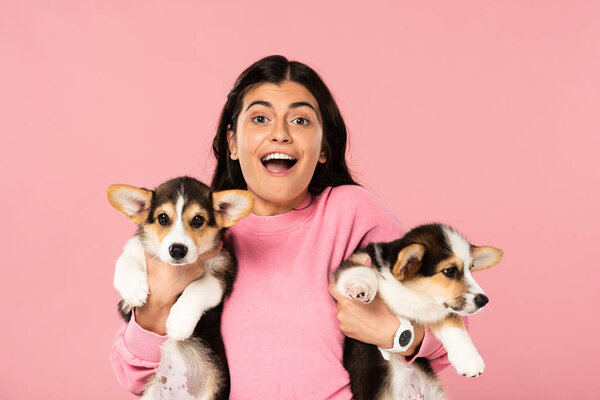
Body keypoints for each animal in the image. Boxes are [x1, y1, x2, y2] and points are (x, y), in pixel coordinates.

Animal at [108, 177, 253, 400]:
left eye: (198, 220)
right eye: (163, 218)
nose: (177, 250)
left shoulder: (220, 276)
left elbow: (196, 288)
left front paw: (178, 322)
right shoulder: (135, 250)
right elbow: (125, 262)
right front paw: (133, 292)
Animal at [336, 223, 504, 398]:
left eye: (470, 269)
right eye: (449, 271)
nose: (484, 300)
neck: (413, 294)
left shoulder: (436, 310)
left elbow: (454, 323)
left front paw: (469, 360)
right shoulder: (358, 259)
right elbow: (360, 270)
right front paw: (359, 287)